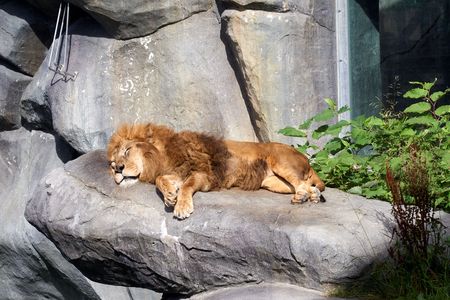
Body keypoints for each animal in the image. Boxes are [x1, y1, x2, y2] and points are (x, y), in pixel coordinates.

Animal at [107, 123, 326, 219]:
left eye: (127, 150)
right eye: (112, 163)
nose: (118, 169)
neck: (161, 157)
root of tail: (304, 157)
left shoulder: (205, 175)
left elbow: (186, 186)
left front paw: (182, 207)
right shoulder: (174, 172)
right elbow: (161, 179)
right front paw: (169, 195)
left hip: (281, 162)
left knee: (303, 184)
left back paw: (304, 197)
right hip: (273, 183)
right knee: (308, 185)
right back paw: (311, 196)